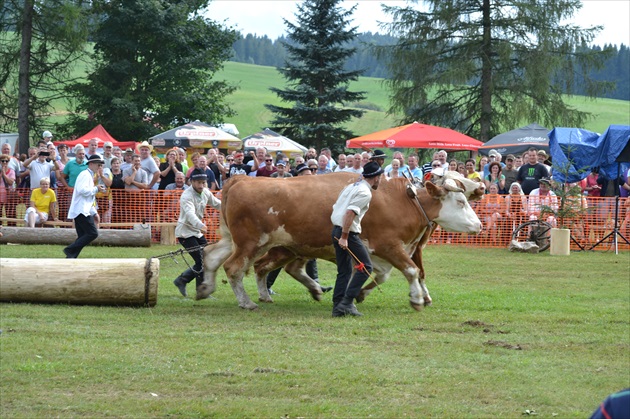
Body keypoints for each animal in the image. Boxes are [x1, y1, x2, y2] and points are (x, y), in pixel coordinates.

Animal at [201, 171, 484, 312]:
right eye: (461, 202)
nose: (479, 225)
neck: (402, 200)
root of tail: (242, 179)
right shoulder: (389, 245)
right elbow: (412, 271)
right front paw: (416, 299)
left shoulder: (377, 252)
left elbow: (381, 276)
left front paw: (357, 294)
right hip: (251, 242)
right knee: (234, 268)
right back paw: (246, 302)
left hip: (241, 241)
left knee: (212, 256)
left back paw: (205, 288)